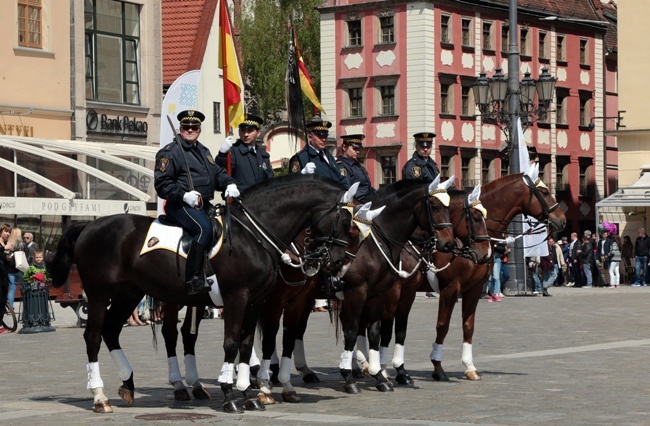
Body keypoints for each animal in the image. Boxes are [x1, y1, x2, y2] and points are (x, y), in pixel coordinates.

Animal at [46, 175, 360, 414]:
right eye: (345, 221)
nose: (336, 262)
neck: (252, 236)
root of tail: (89, 224)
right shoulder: (238, 297)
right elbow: (232, 344)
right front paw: (230, 394)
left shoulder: (255, 301)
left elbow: (246, 344)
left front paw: (247, 393)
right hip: (99, 294)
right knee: (93, 337)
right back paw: (100, 396)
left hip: (129, 293)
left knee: (112, 331)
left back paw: (128, 384)